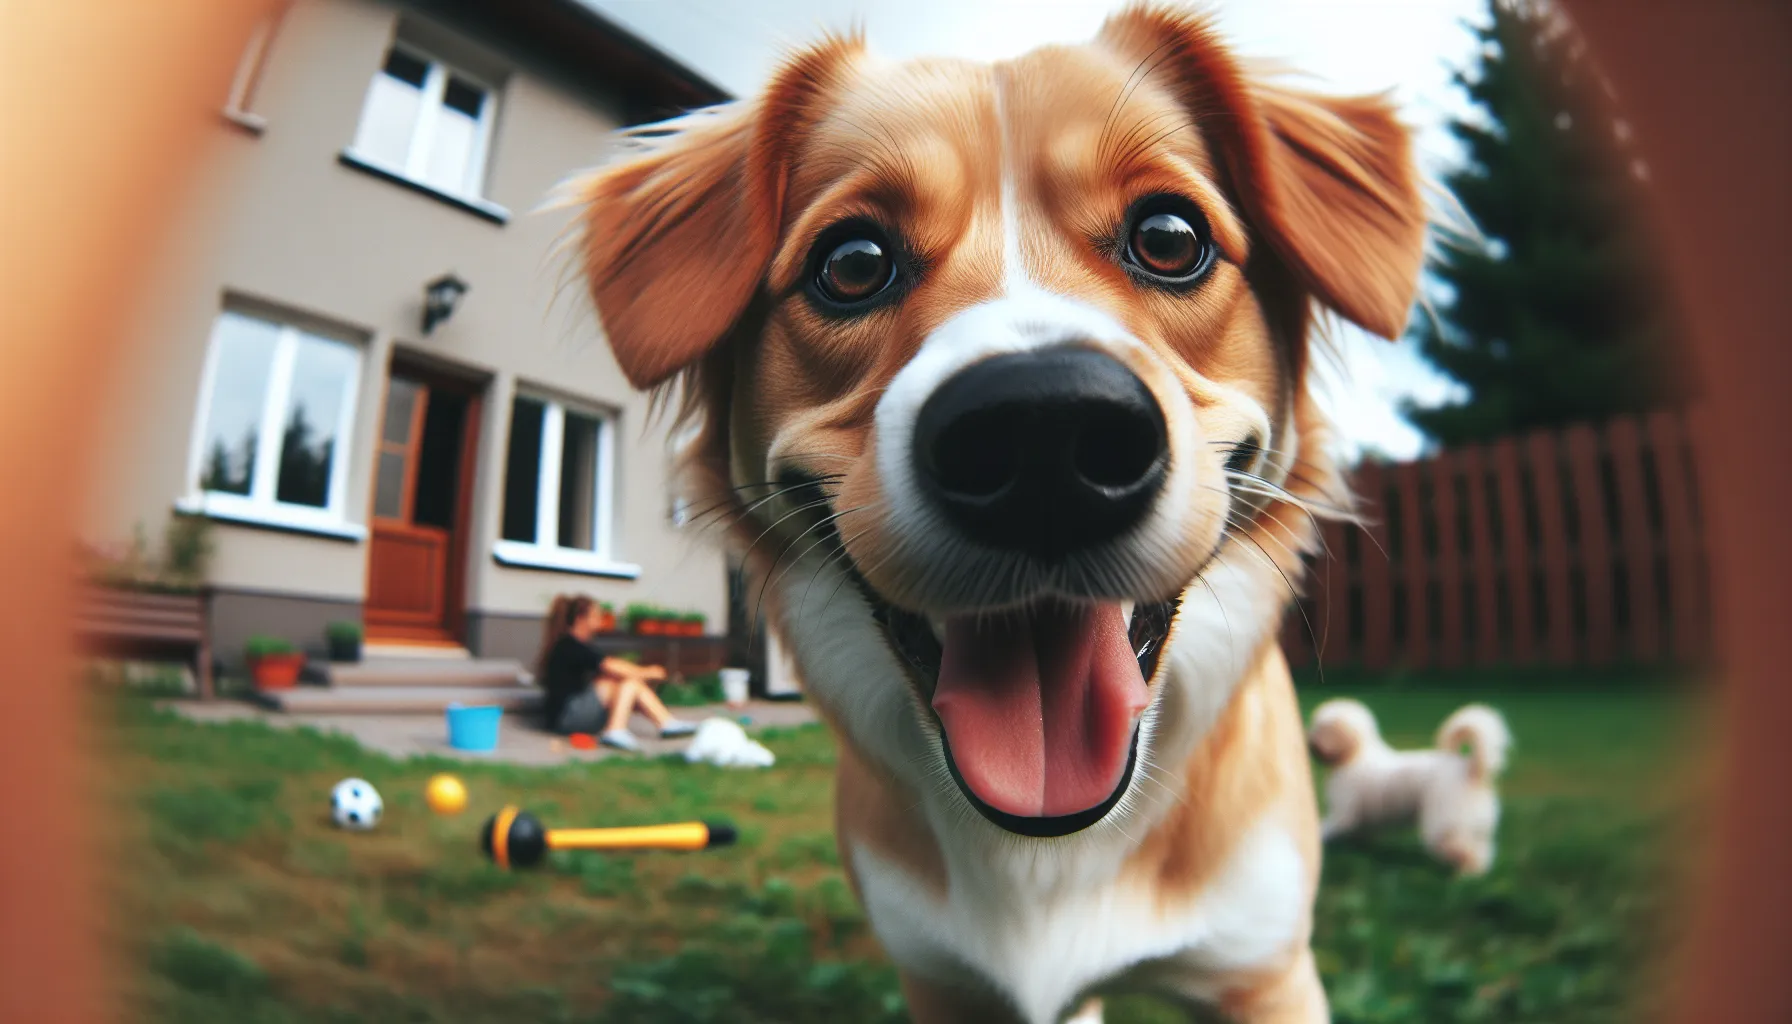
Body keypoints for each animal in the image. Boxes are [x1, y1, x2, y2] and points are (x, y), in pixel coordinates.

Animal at [573, 4, 1426, 1018]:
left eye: (1170, 236)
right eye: (851, 262)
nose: (1042, 439)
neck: (1047, 850)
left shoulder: (1262, 970)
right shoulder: (944, 979)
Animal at [1304, 702, 1512, 878]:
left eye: (1318, 727)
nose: (1306, 740)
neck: (1356, 754)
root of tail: (1471, 770)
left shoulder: (1343, 813)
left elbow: (1326, 828)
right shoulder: (1360, 821)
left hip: (1445, 824)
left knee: (1464, 852)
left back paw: (1463, 876)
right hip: (1475, 828)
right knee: (1482, 852)